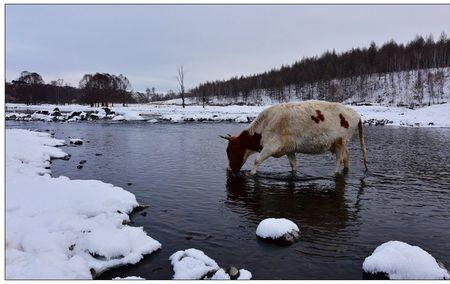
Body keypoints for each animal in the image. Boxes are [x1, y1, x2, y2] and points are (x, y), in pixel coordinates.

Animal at [220, 100, 368, 175]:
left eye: (230, 151)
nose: (228, 169)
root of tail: (356, 114)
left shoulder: (271, 146)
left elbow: (256, 161)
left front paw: (252, 173)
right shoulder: (289, 149)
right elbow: (293, 165)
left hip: (341, 142)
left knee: (339, 158)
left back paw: (335, 173)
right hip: (339, 143)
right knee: (346, 156)